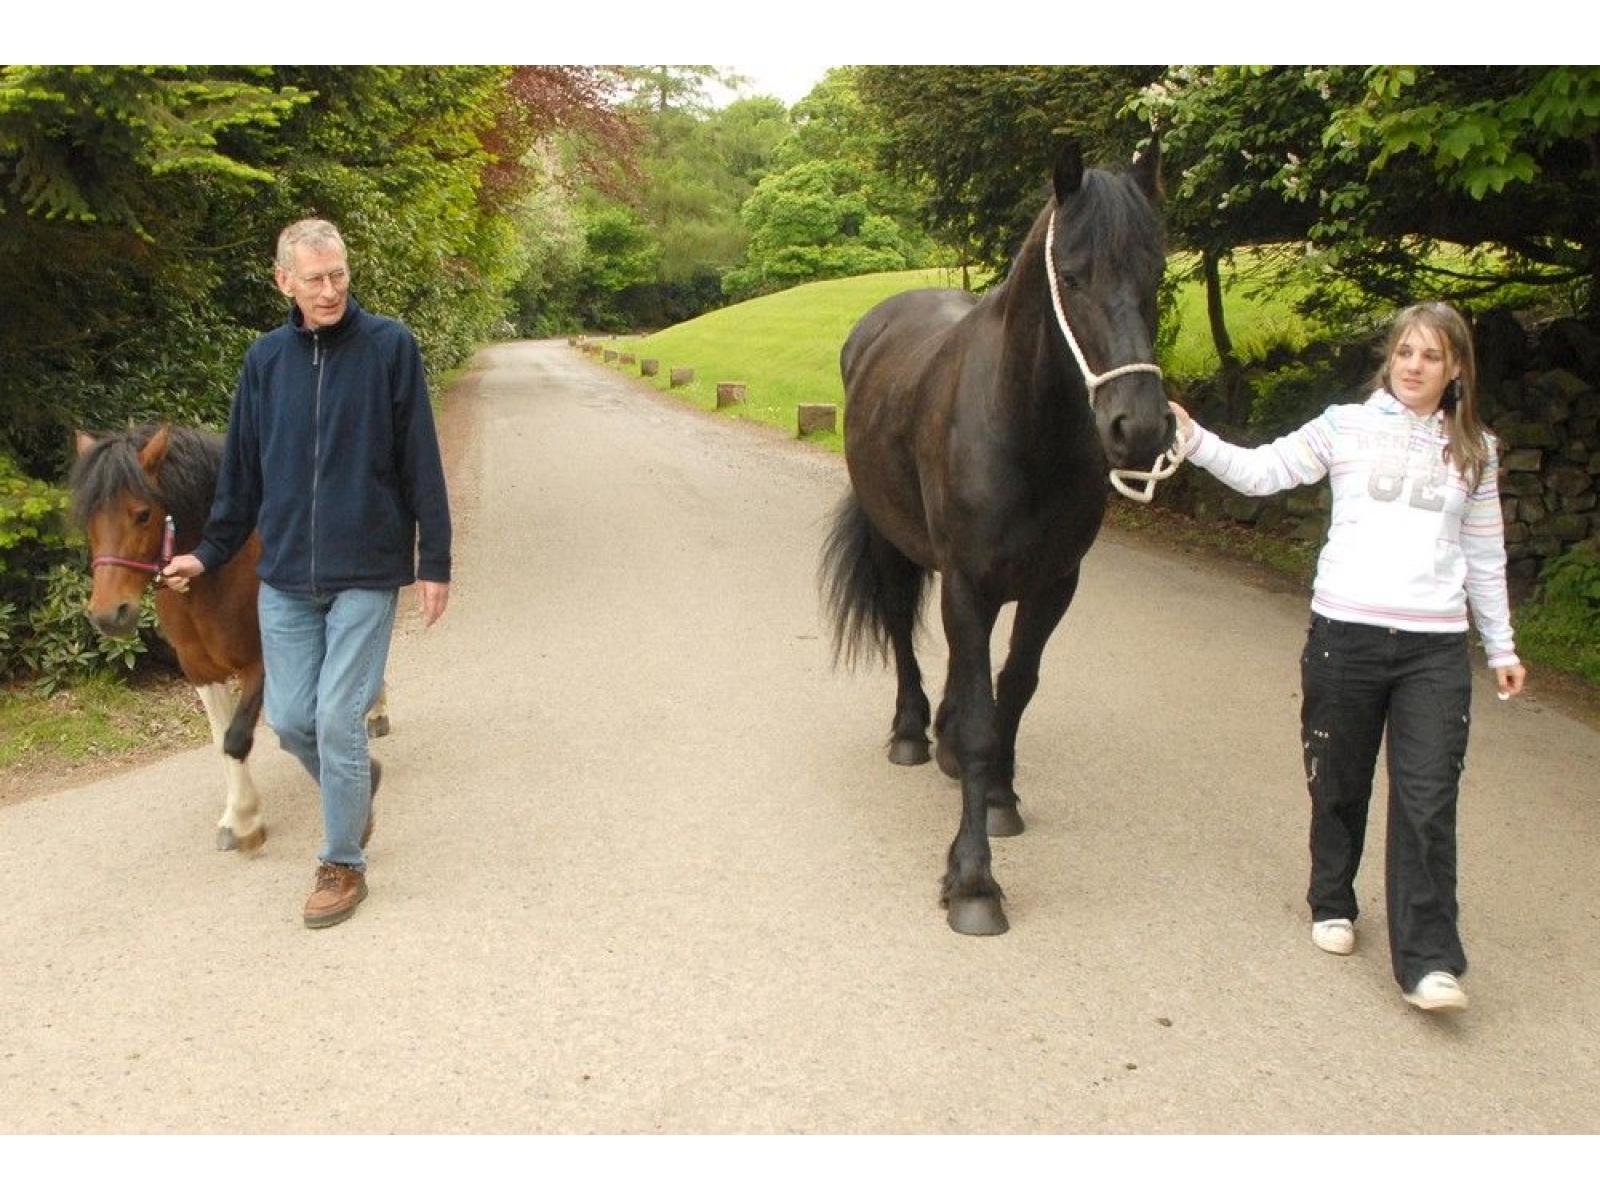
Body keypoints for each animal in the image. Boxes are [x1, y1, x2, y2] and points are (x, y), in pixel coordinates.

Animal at [72, 422, 390, 857]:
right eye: (89, 520)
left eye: (142, 514)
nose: (109, 614)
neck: (218, 571)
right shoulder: (200, 670)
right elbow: (222, 738)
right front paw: (238, 814)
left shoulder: (261, 663)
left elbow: (237, 739)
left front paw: (245, 822)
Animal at [825, 140, 1177, 940]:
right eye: (1072, 275)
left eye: (1156, 272)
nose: (1140, 429)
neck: (1025, 428)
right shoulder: (967, 580)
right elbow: (986, 712)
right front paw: (973, 880)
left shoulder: (1055, 585)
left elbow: (1013, 688)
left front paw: (999, 799)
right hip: (895, 547)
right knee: (902, 629)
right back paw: (914, 731)